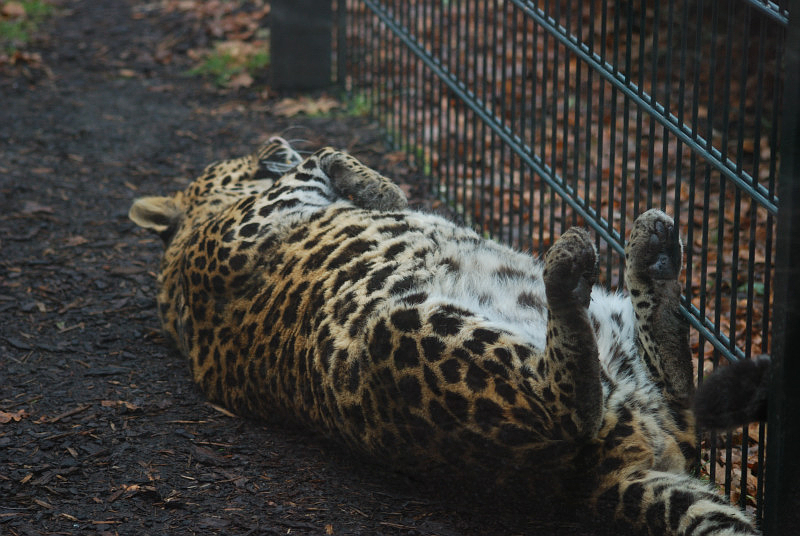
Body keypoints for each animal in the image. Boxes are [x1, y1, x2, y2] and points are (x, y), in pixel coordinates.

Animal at [129, 137, 758, 535]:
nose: (272, 140)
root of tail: (600, 480)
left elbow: (376, 194)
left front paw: (356, 175)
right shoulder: (244, 226)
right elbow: (298, 176)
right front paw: (324, 160)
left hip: (622, 337)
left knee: (681, 391)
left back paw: (652, 255)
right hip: (399, 334)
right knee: (573, 406)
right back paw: (571, 271)